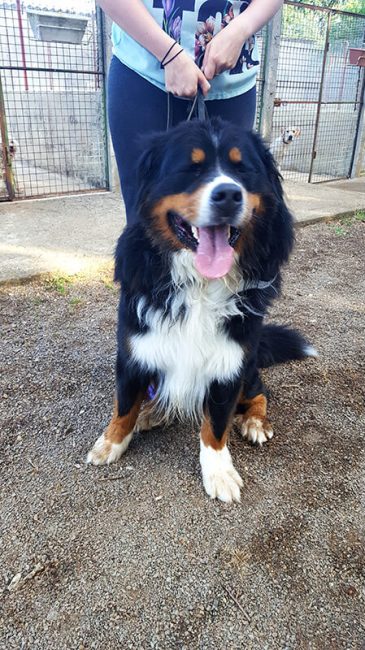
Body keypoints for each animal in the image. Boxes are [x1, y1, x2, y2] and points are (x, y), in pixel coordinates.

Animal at [86, 117, 316, 502]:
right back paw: (152, 413)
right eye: (191, 168)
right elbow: (124, 405)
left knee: (259, 393)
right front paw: (111, 442)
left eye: (242, 169)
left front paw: (219, 471)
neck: (200, 286)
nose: (229, 194)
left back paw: (255, 421)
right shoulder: (134, 351)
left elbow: (216, 426)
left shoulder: (229, 362)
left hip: (250, 366)